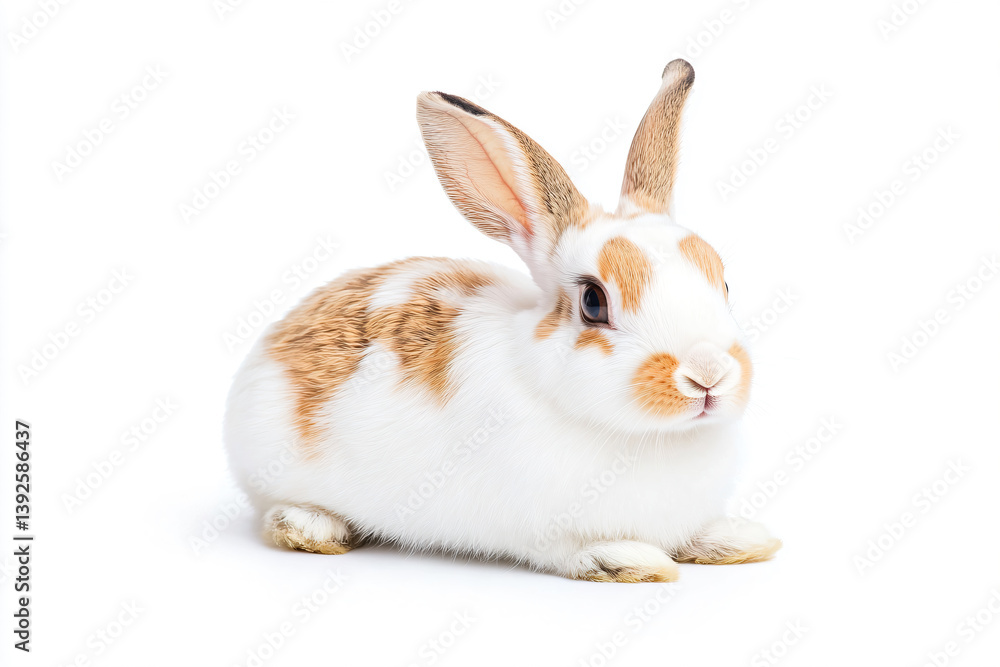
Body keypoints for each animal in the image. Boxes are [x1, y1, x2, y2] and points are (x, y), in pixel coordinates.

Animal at [224, 59, 781, 582]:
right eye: (593, 302)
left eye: (723, 283)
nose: (708, 374)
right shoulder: (539, 528)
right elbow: (571, 550)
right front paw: (626, 560)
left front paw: (738, 540)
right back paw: (311, 526)